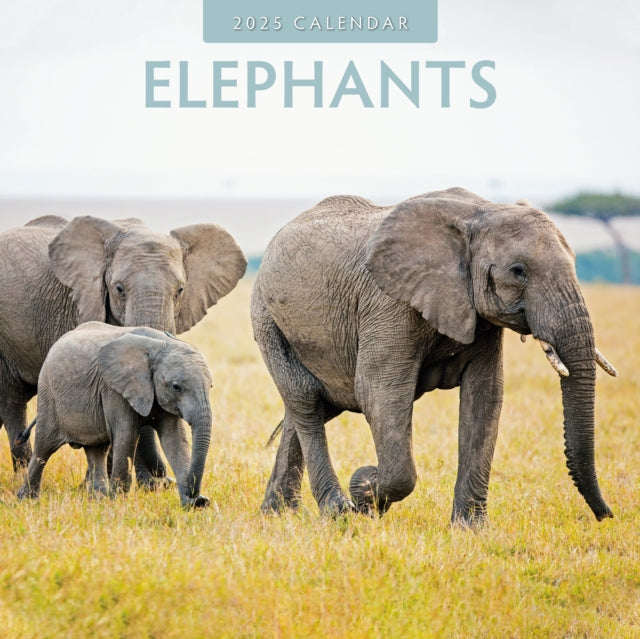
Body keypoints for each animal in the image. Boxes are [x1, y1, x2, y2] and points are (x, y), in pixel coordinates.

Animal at [0, 214, 246, 483]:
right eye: (119, 289)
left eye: (180, 291)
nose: (164, 479)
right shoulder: (81, 303)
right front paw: (145, 484)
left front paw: (149, 484)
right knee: (12, 402)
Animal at [17, 322, 213, 507]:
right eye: (176, 387)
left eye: (210, 386)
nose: (192, 492)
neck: (160, 345)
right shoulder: (113, 389)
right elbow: (126, 435)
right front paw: (118, 503)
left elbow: (174, 439)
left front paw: (196, 505)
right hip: (48, 395)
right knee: (44, 448)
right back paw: (26, 499)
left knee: (97, 450)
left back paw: (99, 500)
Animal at [251, 187, 617, 526]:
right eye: (518, 271)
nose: (607, 516)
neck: (481, 212)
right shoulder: (388, 303)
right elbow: (379, 392)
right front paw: (365, 492)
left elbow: (485, 396)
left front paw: (470, 529)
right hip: (266, 317)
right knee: (306, 399)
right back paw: (336, 511)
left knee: (312, 406)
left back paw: (279, 513)